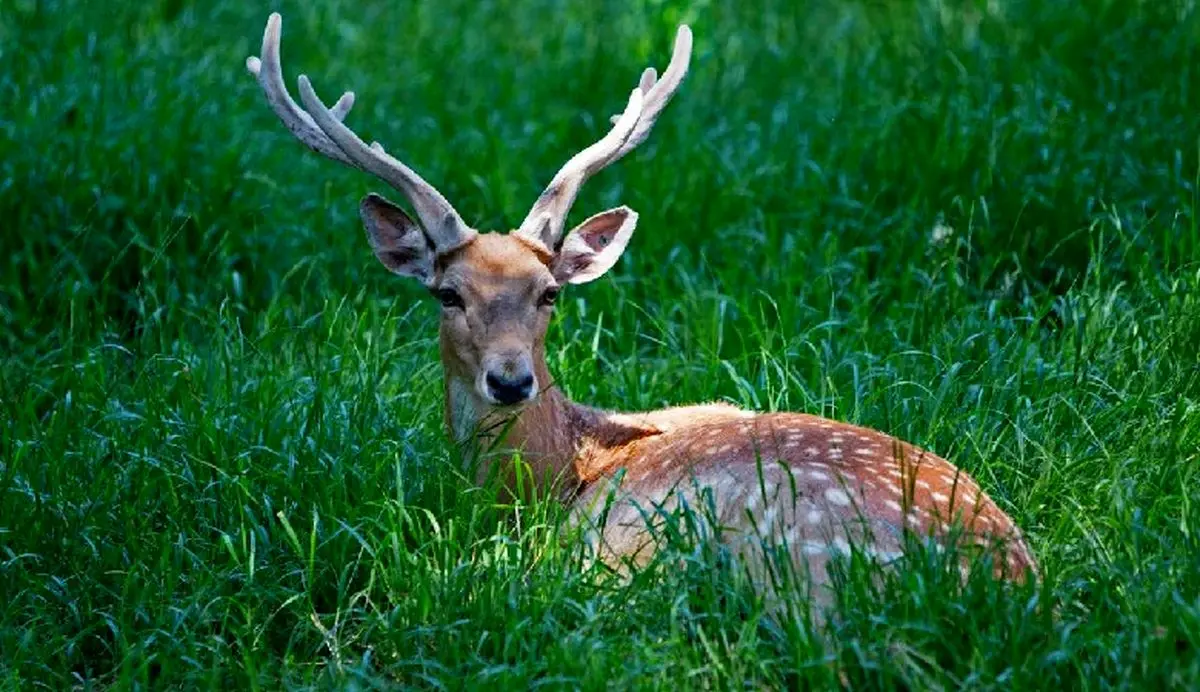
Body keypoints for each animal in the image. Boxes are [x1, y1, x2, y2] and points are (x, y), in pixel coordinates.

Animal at [246, 12, 1041, 614]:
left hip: (785, 552)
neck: (559, 472)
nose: (510, 380)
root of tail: (1004, 588)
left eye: (550, 292)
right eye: (448, 293)